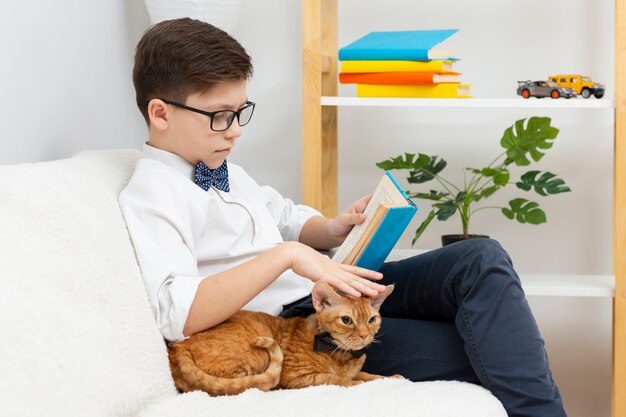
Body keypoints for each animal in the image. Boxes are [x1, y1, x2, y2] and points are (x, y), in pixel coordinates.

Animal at [167, 280, 394, 394]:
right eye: (346, 320)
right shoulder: (296, 377)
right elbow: (333, 378)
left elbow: (366, 375)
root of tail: (177, 348)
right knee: (246, 386)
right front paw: (356, 384)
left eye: (371, 320)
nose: (364, 335)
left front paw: (389, 378)